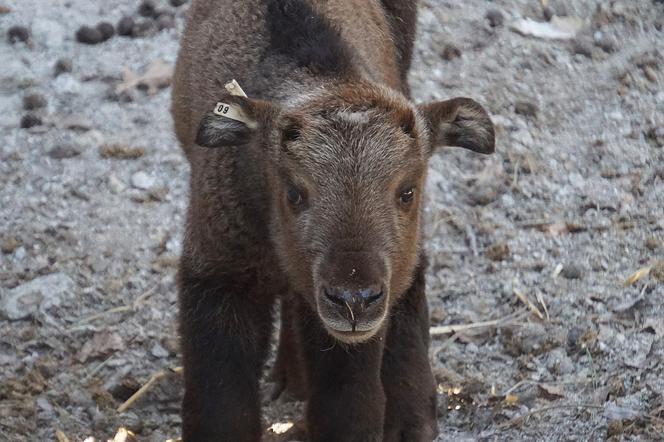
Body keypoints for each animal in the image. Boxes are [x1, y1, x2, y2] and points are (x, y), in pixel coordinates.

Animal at [171, 0, 492, 440]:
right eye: (294, 192)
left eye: (407, 191)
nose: (354, 300)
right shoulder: (218, 278)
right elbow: (221, 413)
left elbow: (349, 410)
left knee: (412, 280)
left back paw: (412, 418)